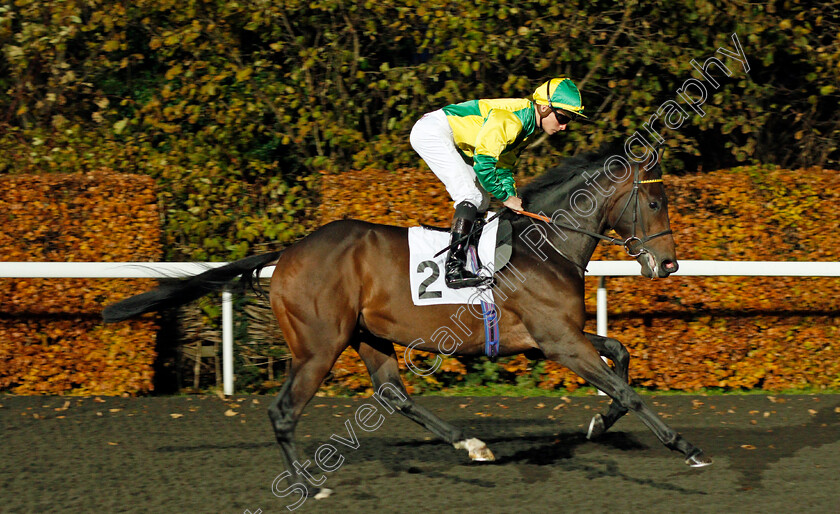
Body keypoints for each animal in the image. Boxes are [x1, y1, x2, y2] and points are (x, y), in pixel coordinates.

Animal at [101, 143, 712, 496]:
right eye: (655, 203)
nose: (669, 264)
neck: (544, 247)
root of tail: (290, 252)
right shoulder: (559, 342)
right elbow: (628, 389)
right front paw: (688, 448)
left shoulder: (554, 339)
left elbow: (622, 359)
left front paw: (596, 425)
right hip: (318, 347)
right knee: (283, 411)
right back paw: (306, 484)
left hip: (368, 335)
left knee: (393, 393)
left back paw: (471, 444)